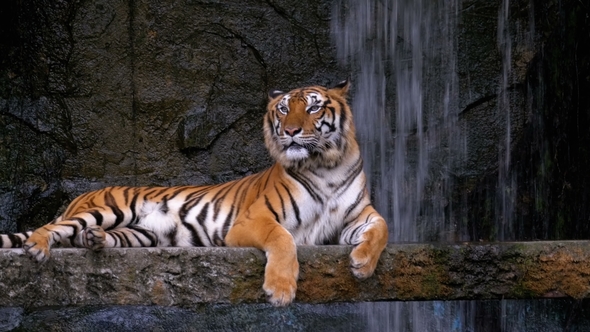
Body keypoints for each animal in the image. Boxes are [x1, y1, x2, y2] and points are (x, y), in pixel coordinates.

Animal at [1, 80, 388, 306]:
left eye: (313, 107)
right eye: (283, 109)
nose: (291, 131)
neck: (325, 166)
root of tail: (76, 200)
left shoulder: (356, 218)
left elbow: (381, 228)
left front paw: (362, 264)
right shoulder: (253, 221)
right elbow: (283, 238)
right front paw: (280, 289)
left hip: (141, 234)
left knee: (92, 236)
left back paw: (94, 240)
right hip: (108, 209)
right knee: (52, 228)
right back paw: (38, 246)